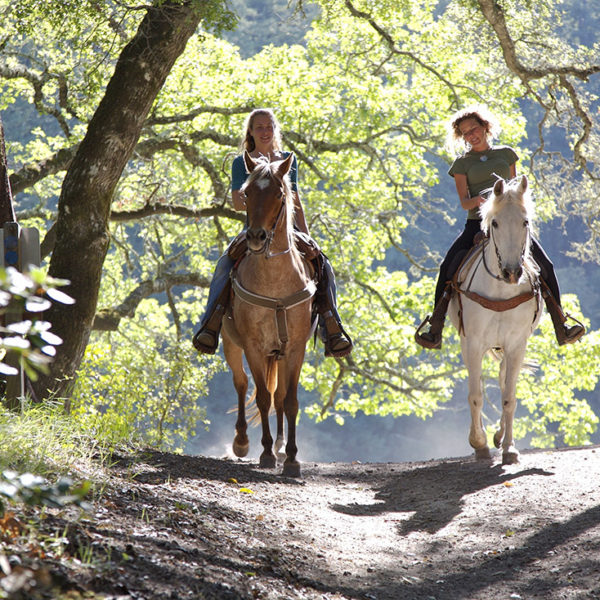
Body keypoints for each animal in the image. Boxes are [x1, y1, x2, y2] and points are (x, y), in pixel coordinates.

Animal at [220, 151, 314, 478]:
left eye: (279, 194)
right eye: (247, 193)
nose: (257, 238)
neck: (275, 284)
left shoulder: (296, 348)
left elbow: (291, 401)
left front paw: (292, 459)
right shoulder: (253, 347)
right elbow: (261, 396)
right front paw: (265, 454)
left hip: (280, 354)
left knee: (280, 396)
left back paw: (282, 446)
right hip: (230, 344)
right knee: (240, 383)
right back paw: (242, 442)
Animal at [450, 176, 544, 466]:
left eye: (525, 221)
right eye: (495, 223)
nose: (512, 272)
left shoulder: (516, 345)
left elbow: (508, 397)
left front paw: (509, 448)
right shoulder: (472, 342)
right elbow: (475, 396)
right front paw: (478, 443)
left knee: (503, 381)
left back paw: (500, 436)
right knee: (479, 383)